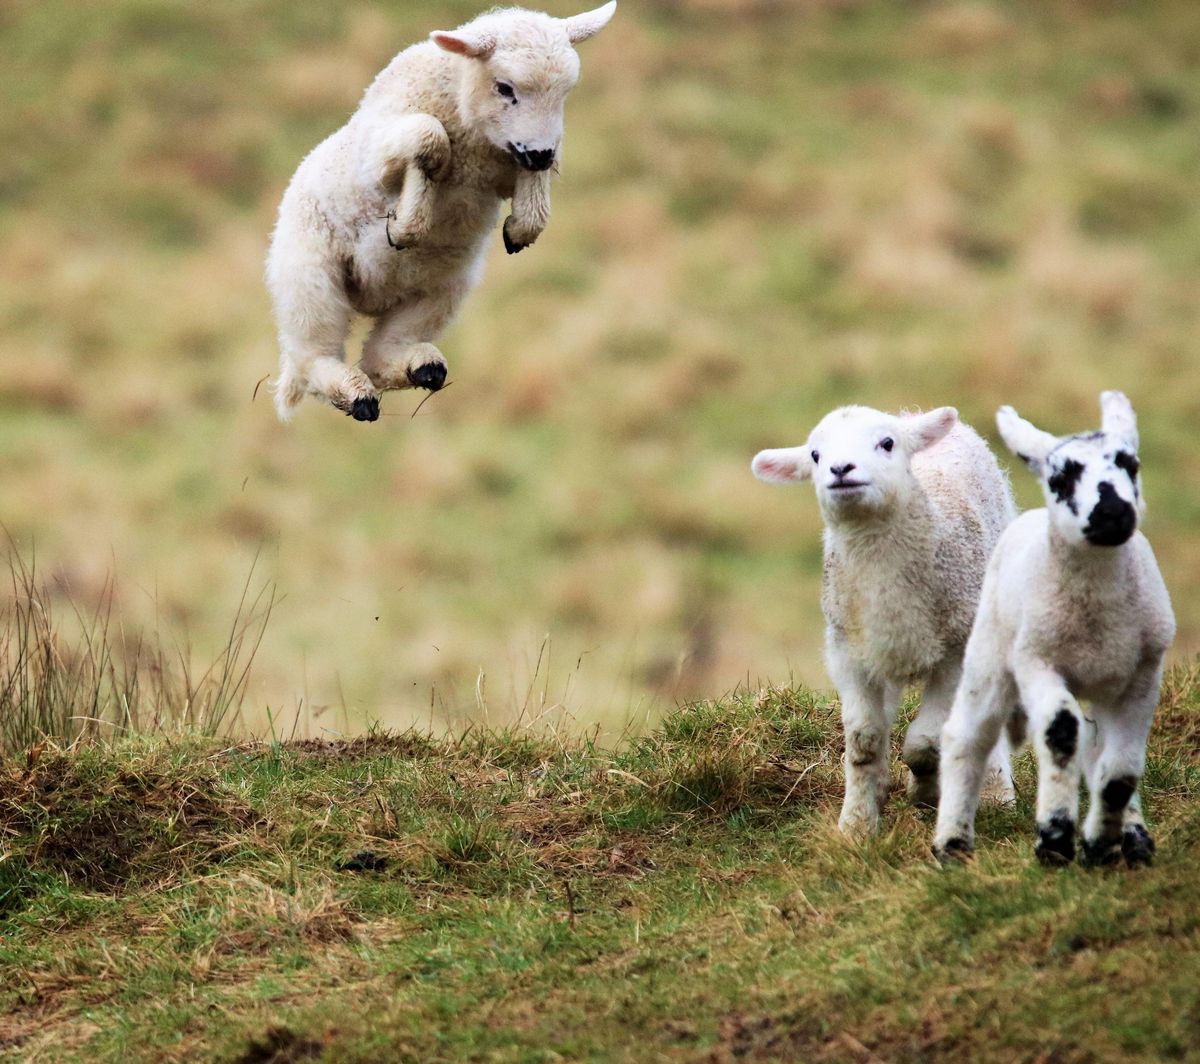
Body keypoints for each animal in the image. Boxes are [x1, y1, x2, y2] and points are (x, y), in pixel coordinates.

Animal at [264, 1, 619, 424]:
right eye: (505, 88)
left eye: (565, 92)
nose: (539, 152)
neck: (475, 143)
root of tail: (372, 298)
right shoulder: (379, 153)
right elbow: (429, 139)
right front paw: (405, 226)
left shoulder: (518, 161)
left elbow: (541, 175)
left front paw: (522, 229)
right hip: (309, 278)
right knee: (313, 356)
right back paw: (355, 395)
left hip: (443, 288)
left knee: (380, 355)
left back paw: (421, 367)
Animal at [753, 403, 1017, 834]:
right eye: (815, 455)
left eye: (887, 443)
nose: (840, 469)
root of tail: (914, 416)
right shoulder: (849, 655)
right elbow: (864, 741)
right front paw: (858, 823)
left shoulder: (954, 652)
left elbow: (925, 742)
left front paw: (925, 791)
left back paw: (996, 794)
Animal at [931, 391, 1176, 863]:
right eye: (1060, 478)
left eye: (1131, 465)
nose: (1113, 512)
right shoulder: (1038, 663)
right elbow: (1060, 732)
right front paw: (1056, 839)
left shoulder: (1143, 675)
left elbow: (1120, 769)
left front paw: (1100, 845)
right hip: (990, 654)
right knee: (969, 736)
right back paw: (952, 842)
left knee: (1099, 749)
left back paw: (1132, 837)